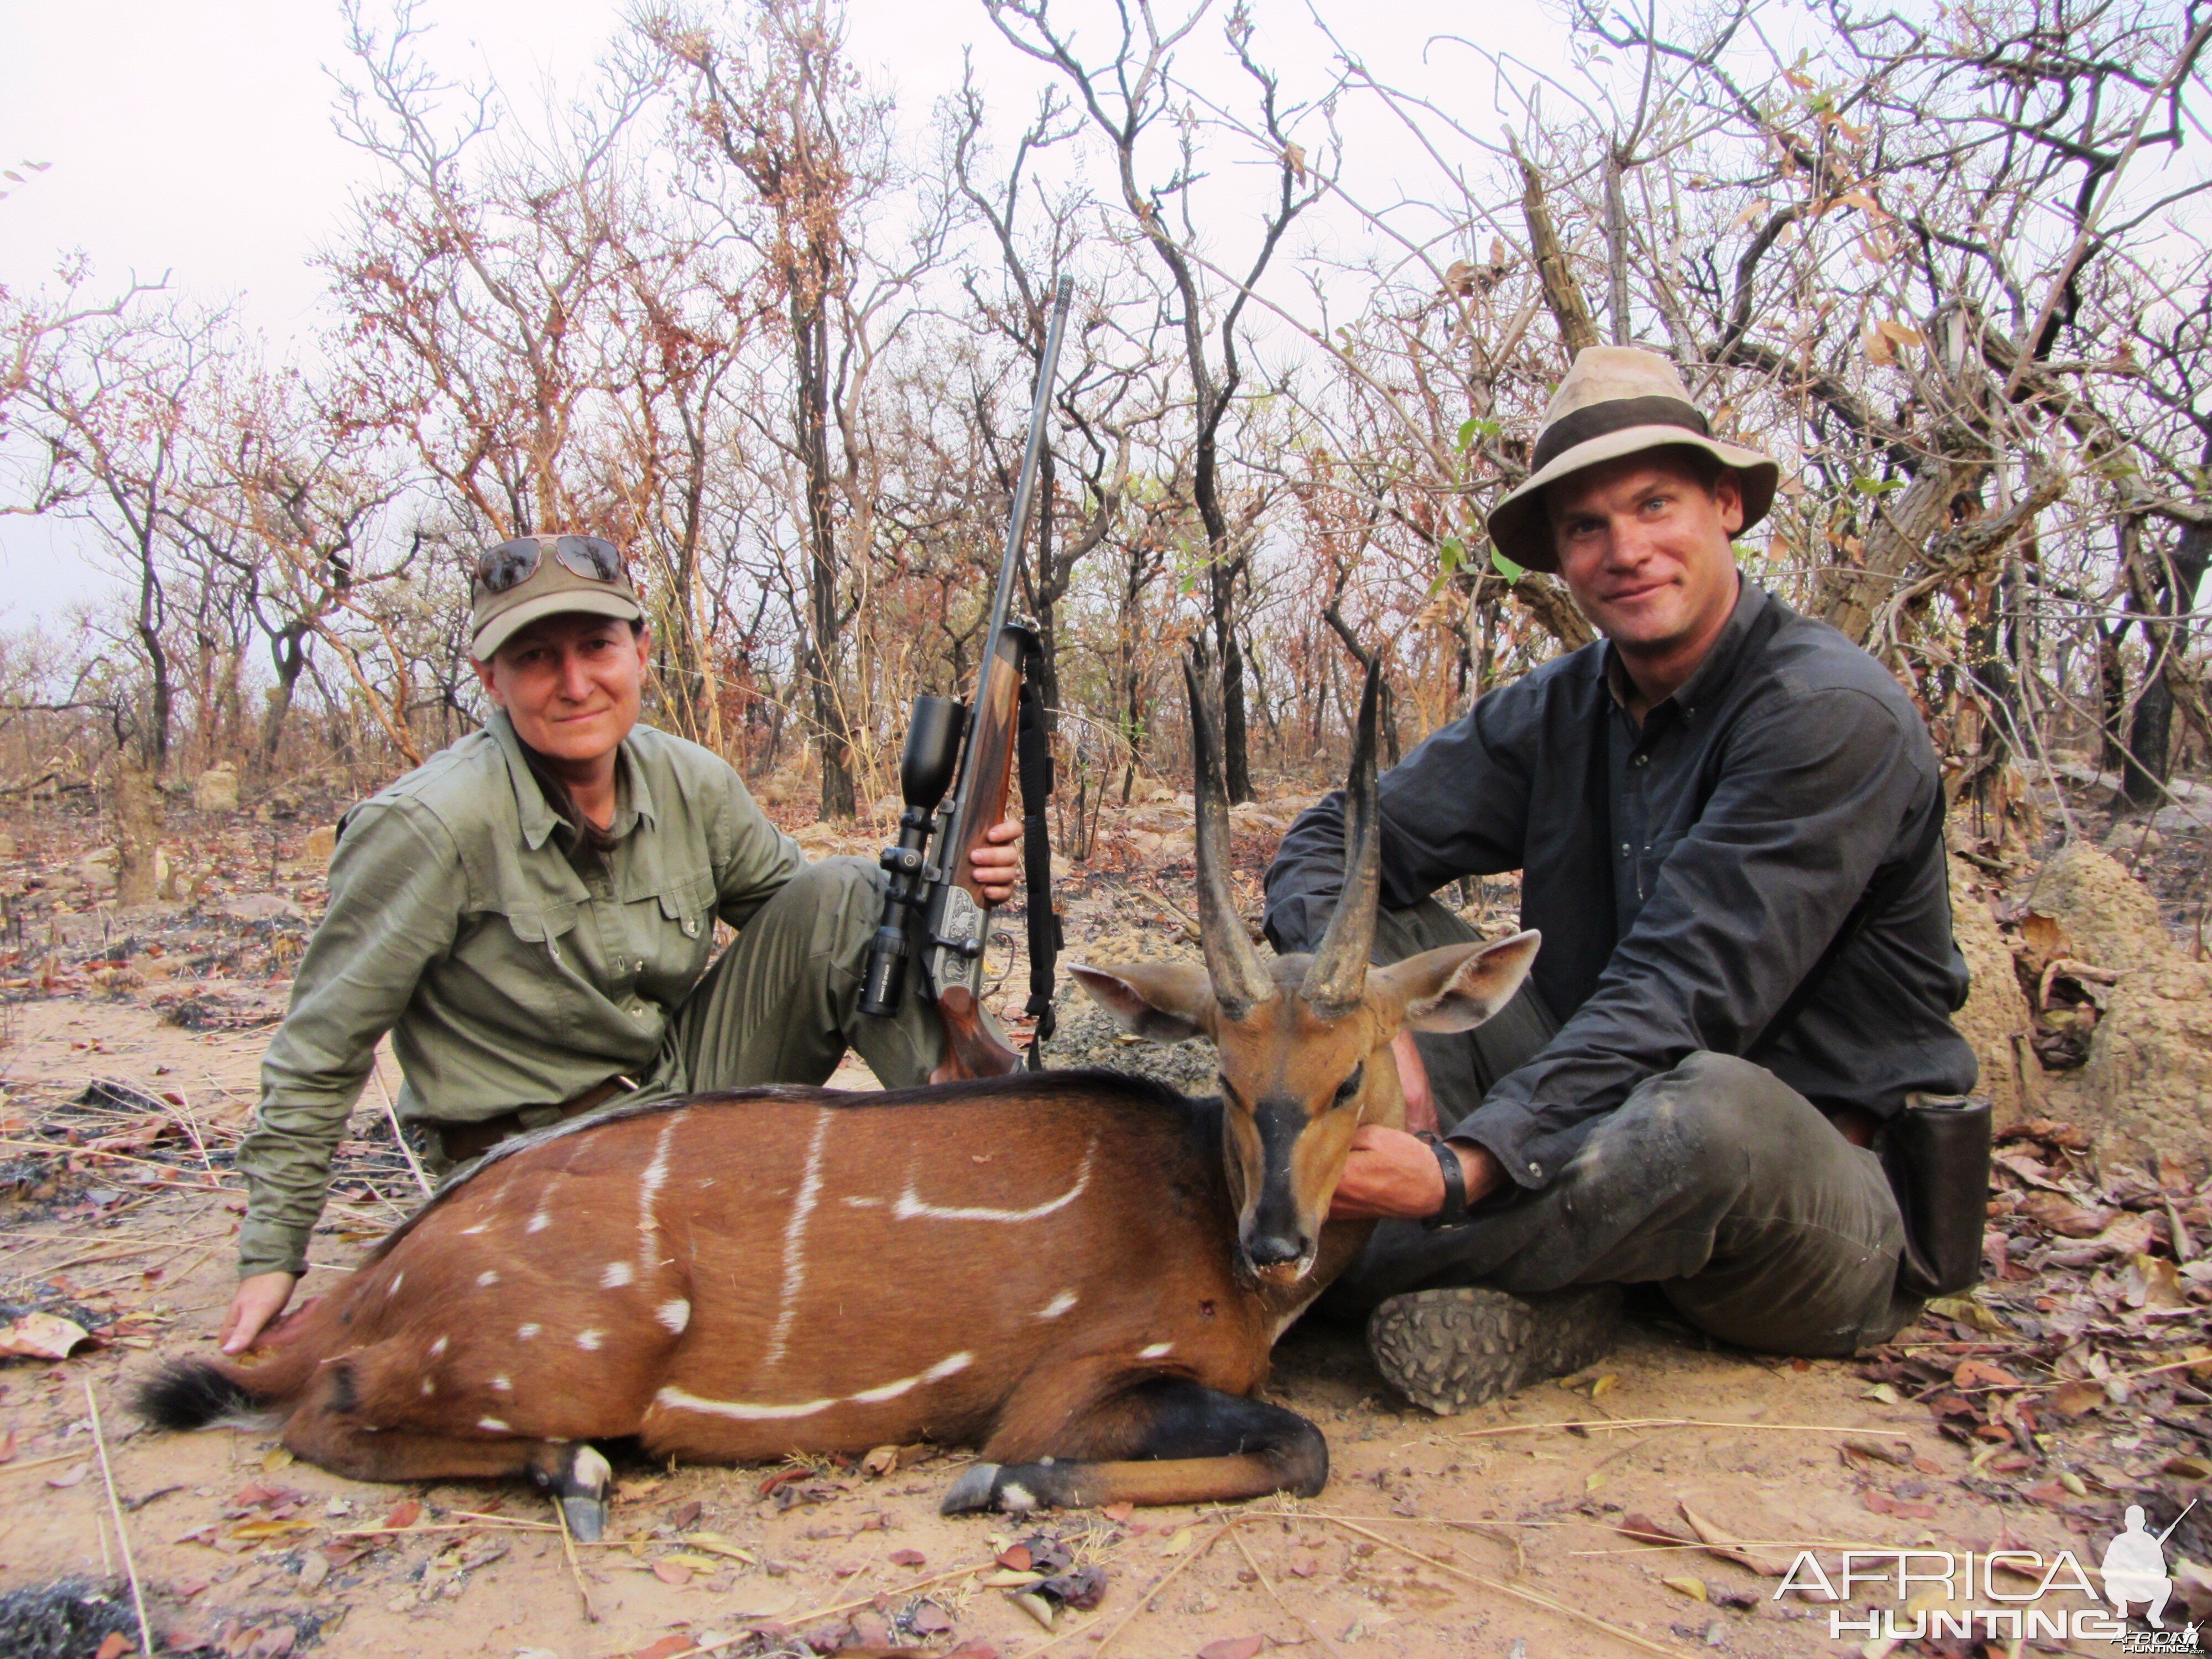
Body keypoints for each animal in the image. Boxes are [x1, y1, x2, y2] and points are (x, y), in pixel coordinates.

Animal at [138, 659, 1540, 1531]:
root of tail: (362, 1287)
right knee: (320, 1414)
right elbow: (1294, 1446)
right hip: (566, 1359)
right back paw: (567, 1466)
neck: (1200, 1205)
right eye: (1229, 1073)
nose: (1274, 1242)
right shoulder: (1066, 1387)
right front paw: (995, 1491)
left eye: (1347, 1074)